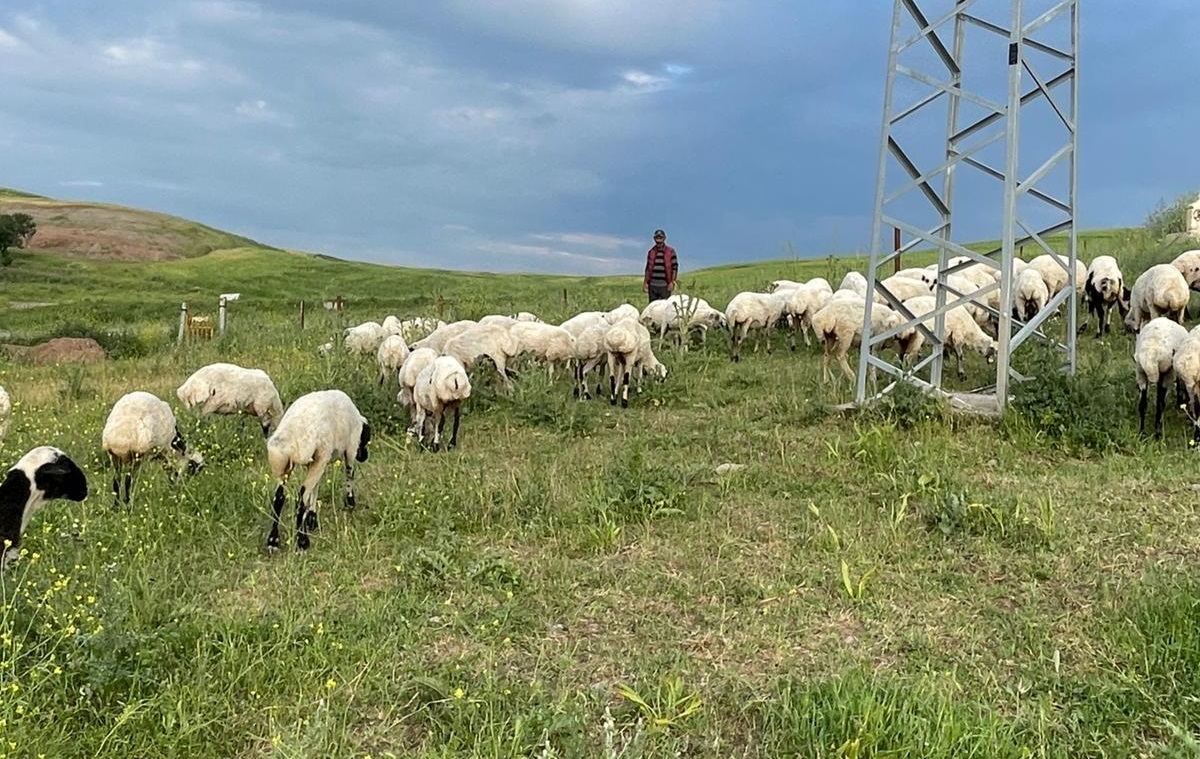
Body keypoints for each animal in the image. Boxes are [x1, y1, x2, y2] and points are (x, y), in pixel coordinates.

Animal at [266, 391, 369, 552]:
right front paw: (350, 503)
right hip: (322, 455)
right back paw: (302, 541)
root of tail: (290, 438)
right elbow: (349, 475)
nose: (365, 457)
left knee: (279, 496)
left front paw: (312, 519)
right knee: (300, 498)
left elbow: (315, 489)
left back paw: (273, 541)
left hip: (284, 466)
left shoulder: (315, 462)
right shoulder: (348, 450)